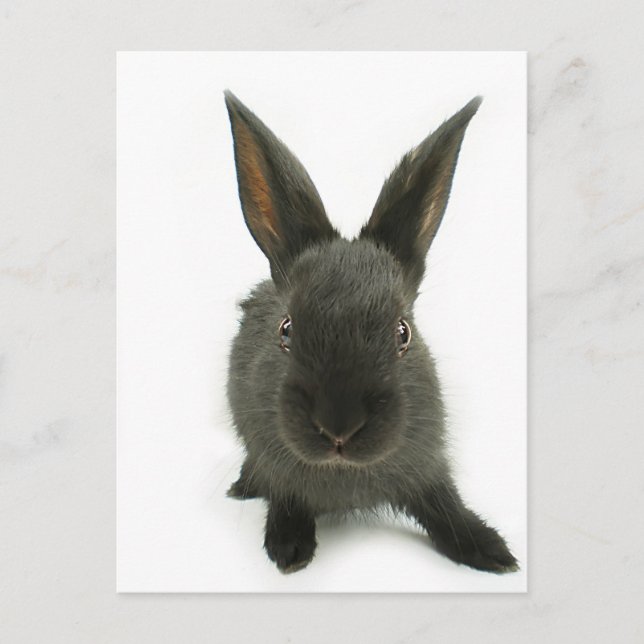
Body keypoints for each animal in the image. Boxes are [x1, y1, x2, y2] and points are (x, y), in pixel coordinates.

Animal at [224, 90, 518, 575]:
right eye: (286, 330)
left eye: (403, 333)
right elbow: (285, 497)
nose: (338, 427)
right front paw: (289, 549)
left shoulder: (429, 468)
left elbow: (446, 507)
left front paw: (491, 551)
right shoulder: (274, 463)